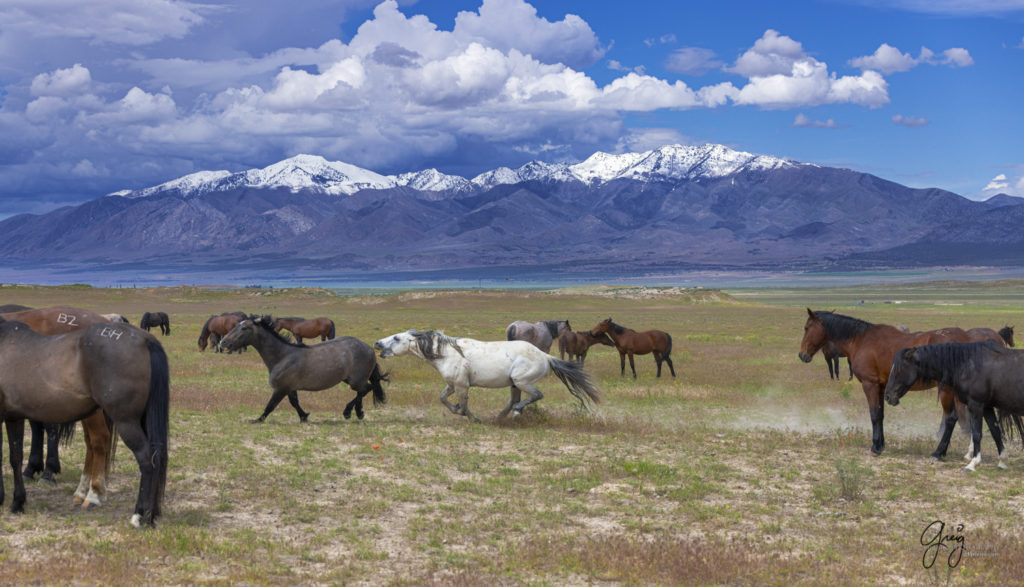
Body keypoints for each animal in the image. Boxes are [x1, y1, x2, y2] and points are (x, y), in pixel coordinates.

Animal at [219, 315, 387, 422]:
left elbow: (271, 405)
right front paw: (304, 416)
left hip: (355, 381)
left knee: (366, 389)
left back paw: (348, 412)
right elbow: (294, 402)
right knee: (365, 390)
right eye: (236, 325)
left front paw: (257, 420)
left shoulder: (281, 388)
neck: (282, 356)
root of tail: (369, 349)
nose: (223, 342)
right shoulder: (290, 388)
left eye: (244, 328)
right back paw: (358, 413)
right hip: (350, 379)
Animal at [374, 329, 598, 422]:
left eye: (396, 338)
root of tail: (545, 356)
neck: (448, 353)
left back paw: (515, 412)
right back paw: (502, 416)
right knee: (513, 401)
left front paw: (471, 417)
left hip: (521, 381)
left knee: (536, 395)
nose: (377, 343)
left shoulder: (462, 385)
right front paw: (456, 410)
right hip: (514, 384)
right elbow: (443, 398)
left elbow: (465, 404)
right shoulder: (453, 384)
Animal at [794, 309, 1003, 454]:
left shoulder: (869, 385)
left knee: (951, 417)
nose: (802, 355)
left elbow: (874, 415)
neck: (861, 340)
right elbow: (880, 415)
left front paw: (875, 447)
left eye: (806, 328)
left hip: (947, 389)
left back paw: (939, 452)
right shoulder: (880, 387)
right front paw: (881, 444)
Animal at [884, 338, 1024, 471]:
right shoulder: (986, 407)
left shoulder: (976, 405)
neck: (970, 366)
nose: (888, 396)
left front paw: (973, 464)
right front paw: (1002, 462)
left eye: (898, 370)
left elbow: (977, 434)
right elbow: (995, 432)